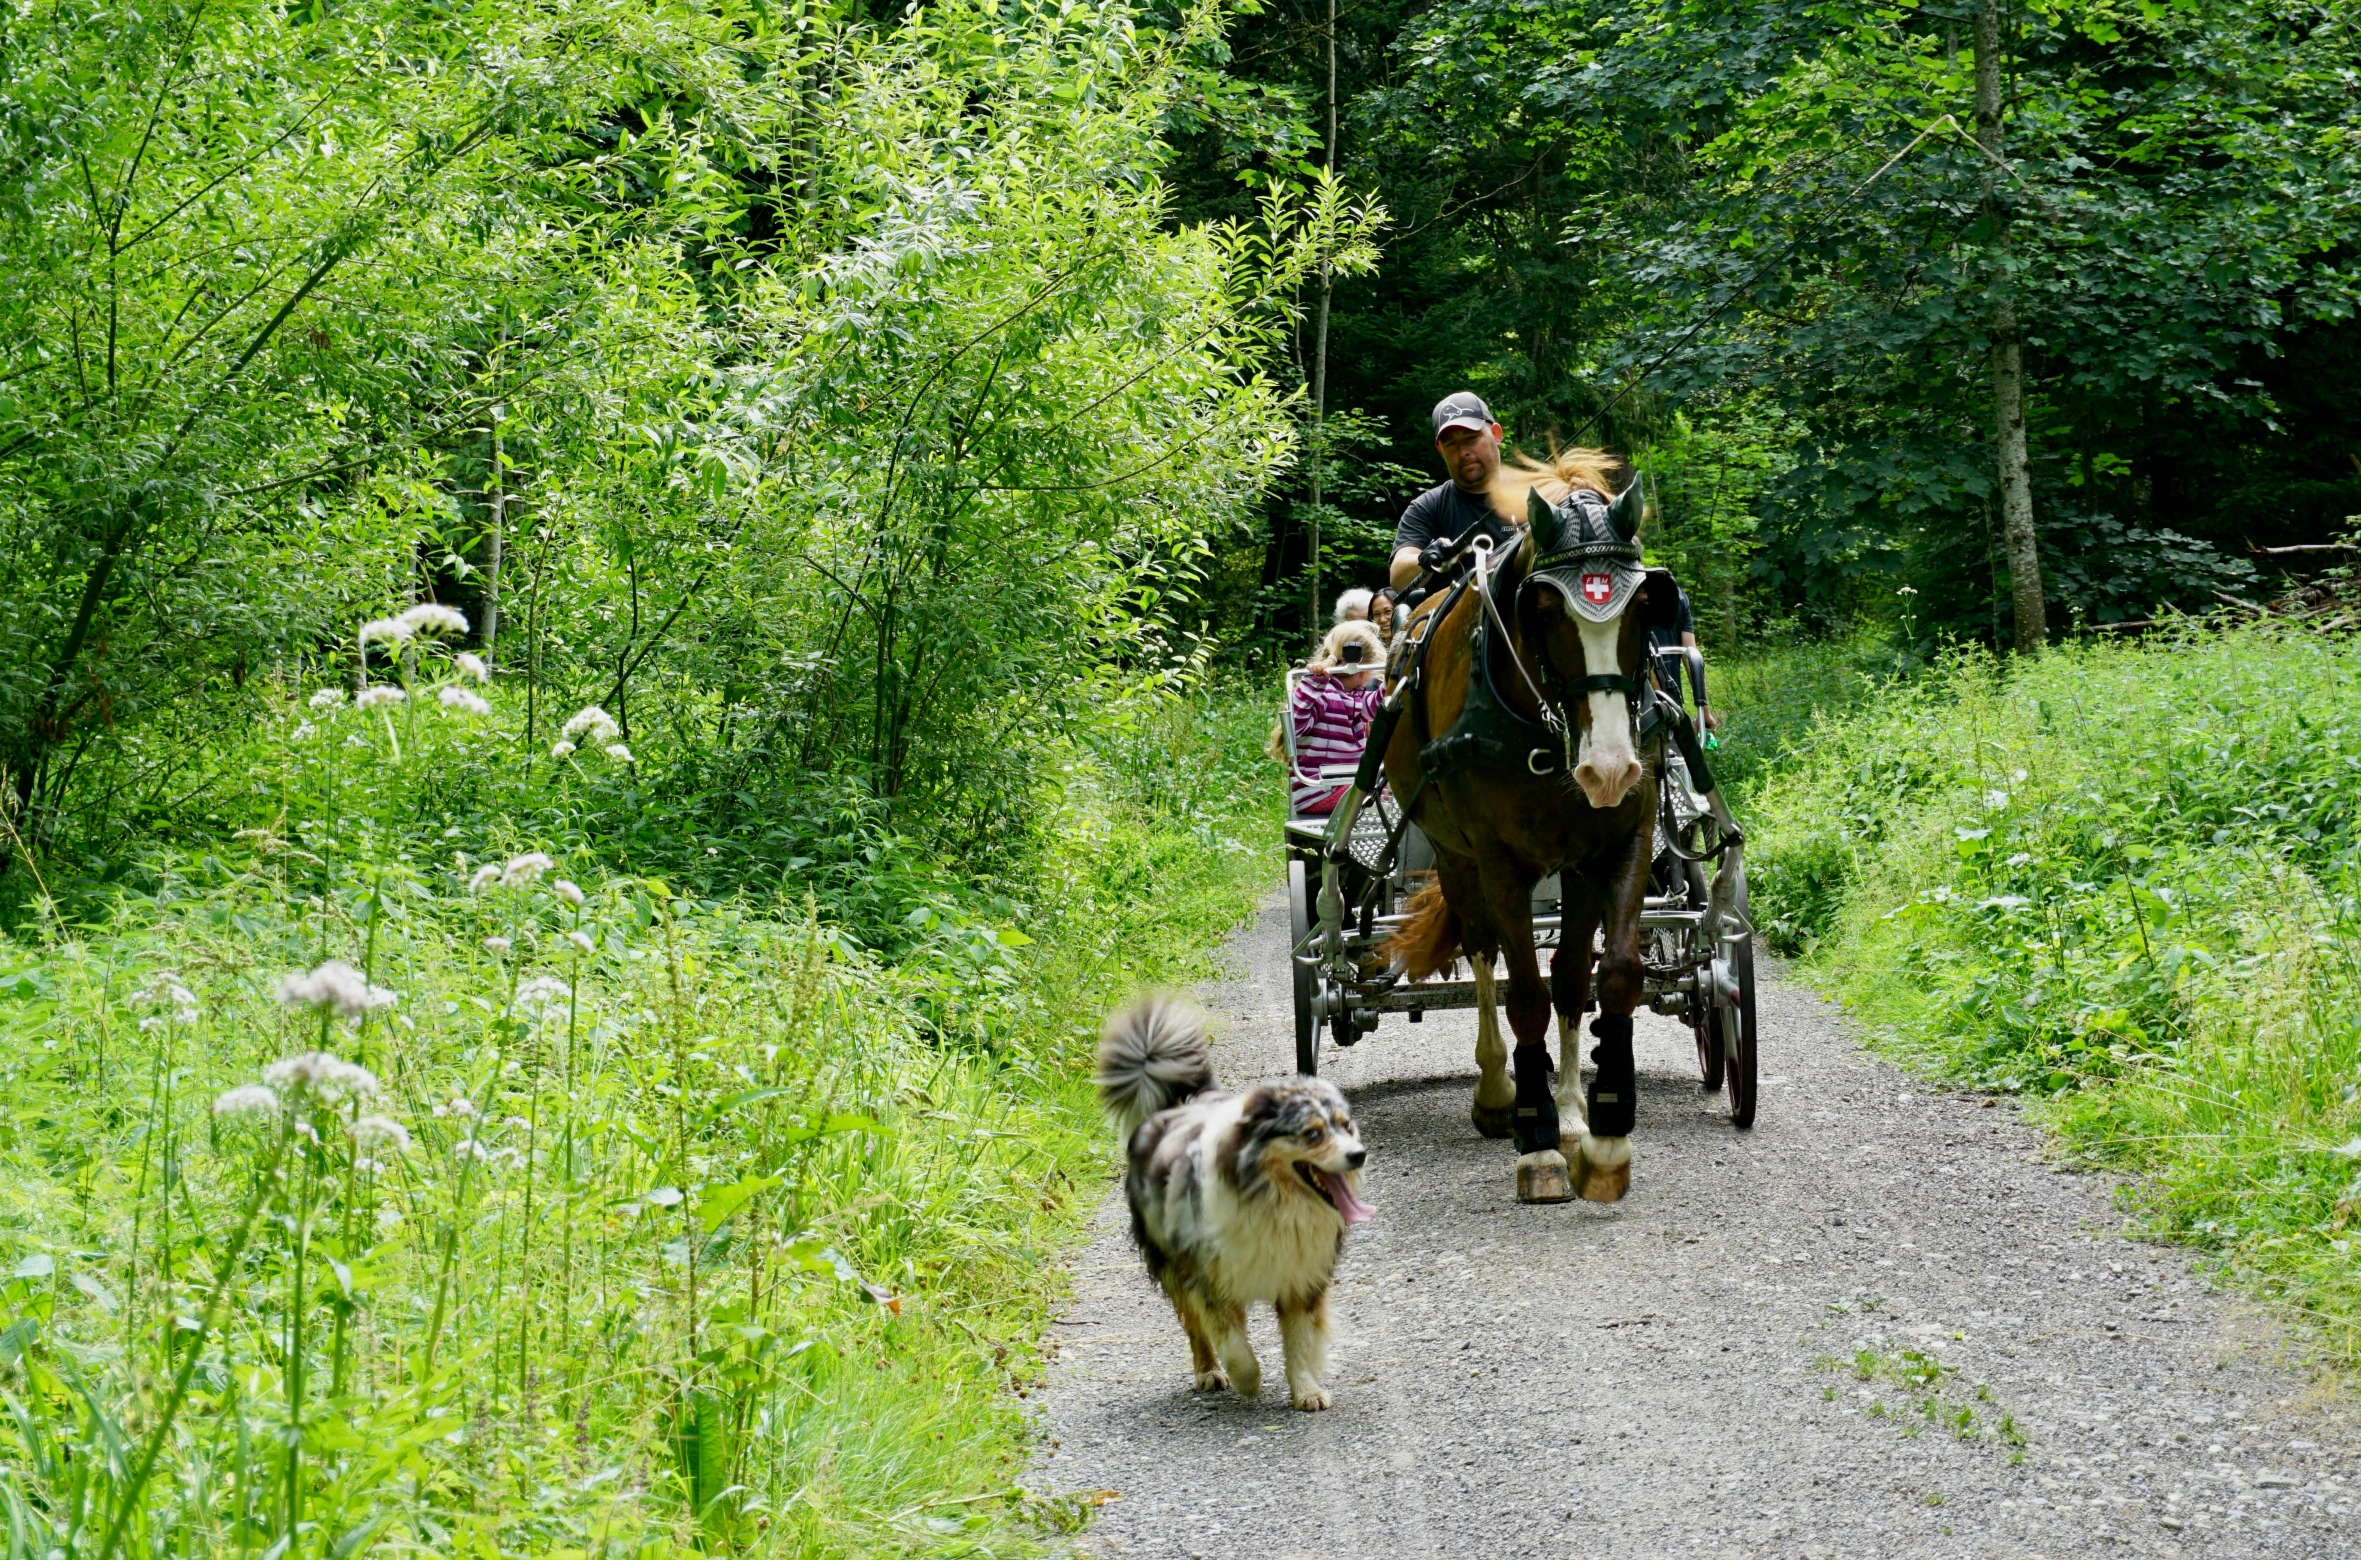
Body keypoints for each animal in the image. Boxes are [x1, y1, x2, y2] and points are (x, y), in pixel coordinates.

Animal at [1095, 995, 1378, 1416]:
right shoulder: (1209, 1279)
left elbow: (1300, 1343)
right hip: (1171, 1264)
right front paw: (1249, 1380)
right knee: (1194, 1327)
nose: (1358, 1155)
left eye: (1346, 1126)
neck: (1273, 1201)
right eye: (1312, 1134)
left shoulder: (1302, 1276)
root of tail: (1174, 1105)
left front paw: (1307, 1390)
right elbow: (1233, 1343)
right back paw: (1209, 1372)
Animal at [1378, 450, 1690, 1203]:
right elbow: (1524, 994)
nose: (1608, 766)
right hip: (1457, 858)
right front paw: (1538, 1143)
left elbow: (1606, 977)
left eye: (1645, 605)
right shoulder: (1499, 860)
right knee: (1483, 953)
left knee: (1568, 976)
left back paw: (1571, 1110)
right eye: (1544, 609)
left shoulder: (1617, 843)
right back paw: (1499, 1092)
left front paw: (1599, 1134)